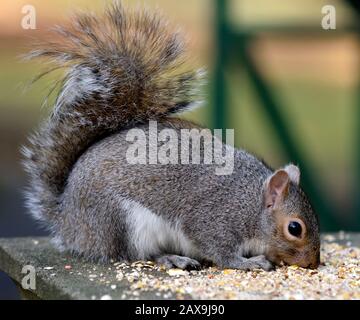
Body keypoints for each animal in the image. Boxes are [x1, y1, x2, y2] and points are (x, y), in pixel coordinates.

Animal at [23, 1, 320, 270]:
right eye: (295, 228)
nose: (313, 263)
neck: (252, 204)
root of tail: (68, 220)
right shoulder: (215, 218)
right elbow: (220, 251)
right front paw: (248, 262)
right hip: (123, 222)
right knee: (135, 254)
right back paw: (173, 258)